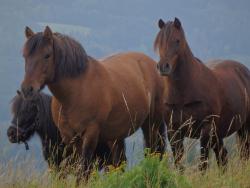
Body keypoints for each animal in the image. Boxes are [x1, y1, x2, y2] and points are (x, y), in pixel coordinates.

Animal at [20, 25, 165, 177]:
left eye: (47, 55)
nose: (27, 89)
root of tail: (152, 64)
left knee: (153, 152)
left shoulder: (90, 134)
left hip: (152, 124)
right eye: (25, 56)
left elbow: (84, 169)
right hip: (116, 136)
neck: (76, 92)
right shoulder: (70, 137)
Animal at [154, 17, 250, 170]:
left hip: (244, 128)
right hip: (219, 133)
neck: (184, 94)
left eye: (177, 40)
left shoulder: (205, 130)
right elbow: (179, 164)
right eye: (159, 42)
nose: (163, 66)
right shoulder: (173, 132)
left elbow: (203, 164)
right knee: (223, 156)